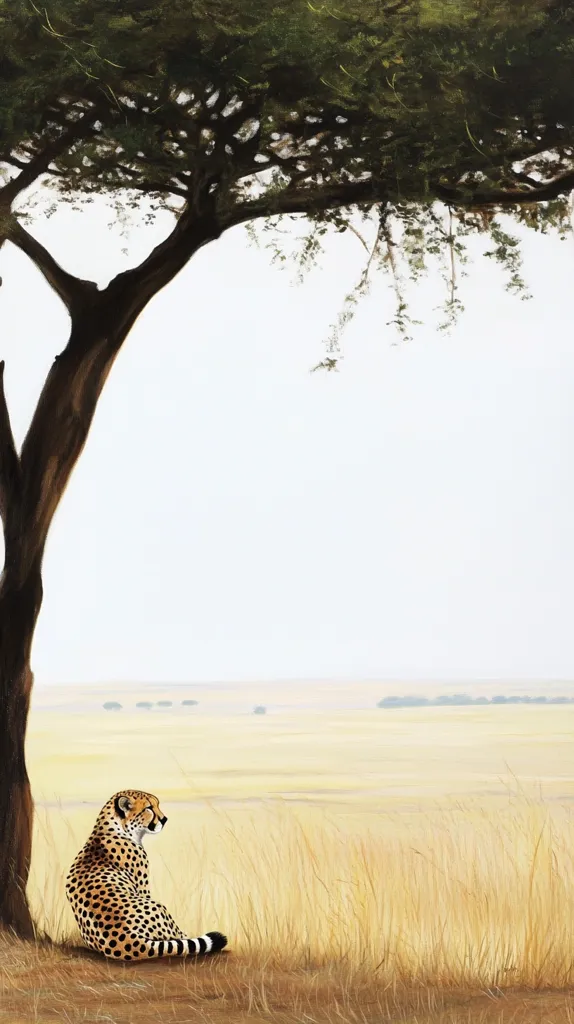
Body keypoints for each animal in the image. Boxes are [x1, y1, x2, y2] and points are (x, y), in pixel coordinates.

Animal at [65, 789, 227, 962]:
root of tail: (127, 940)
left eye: (158, 804)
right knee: (177, 937)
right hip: (159, 907)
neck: (116, 828)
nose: (164, 819)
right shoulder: (142, 888)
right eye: (148, 808)